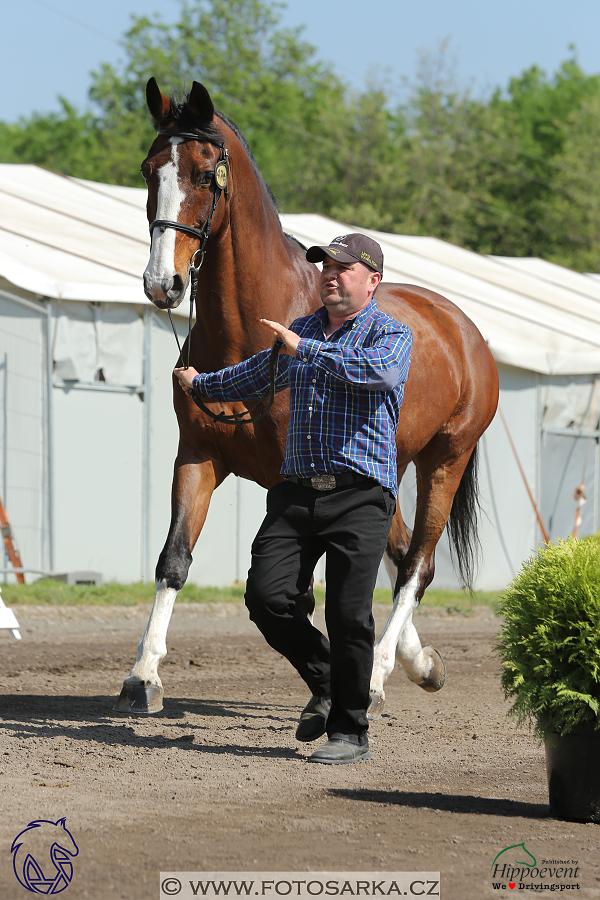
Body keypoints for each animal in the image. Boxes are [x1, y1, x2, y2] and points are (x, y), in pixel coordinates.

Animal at [115, 81, 500, 720]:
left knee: (416, 565)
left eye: (205, 174)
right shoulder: (197, 457)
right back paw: (420, 665)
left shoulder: (295, 482)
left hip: (446, 459)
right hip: (386, 471)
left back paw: (379, 676)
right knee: (398, 555)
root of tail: (463, 328)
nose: (161, 284)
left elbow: (308, 593)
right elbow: (174, 560)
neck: (251, 328)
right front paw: (142, 677)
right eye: (149, 170)